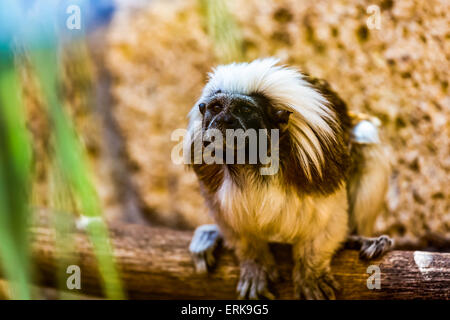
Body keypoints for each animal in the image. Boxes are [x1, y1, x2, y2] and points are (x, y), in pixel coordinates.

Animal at [185, 58, 392, 300]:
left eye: (244, 109)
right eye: (216, 107)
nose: (223, 120)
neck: (250, 165)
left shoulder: (320, 169)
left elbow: (326, 221)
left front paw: (311, 273)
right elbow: (236, 228)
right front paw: (255, 265)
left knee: (366, 136)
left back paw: (358, 238)